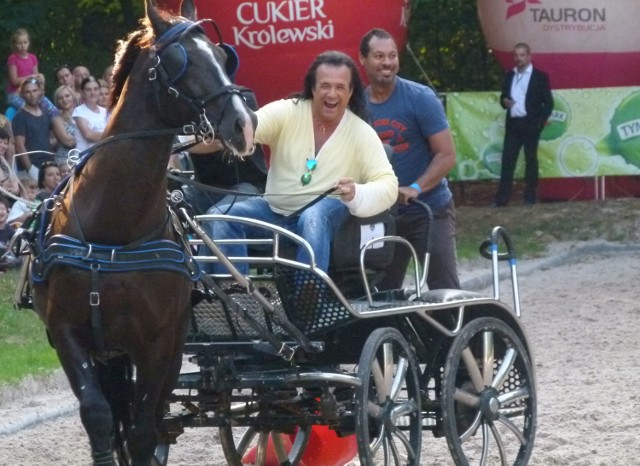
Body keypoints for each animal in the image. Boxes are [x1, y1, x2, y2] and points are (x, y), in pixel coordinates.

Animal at [28, 1, 258, 464]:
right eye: (182, 62)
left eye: (222, 57)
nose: (244, 124)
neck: (114, 231)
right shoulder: (65, 332)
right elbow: (99, 417)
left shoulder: (158, 342)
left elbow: (142, 429)